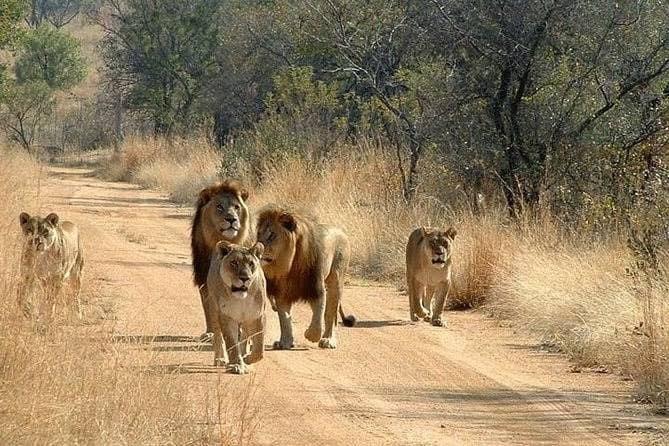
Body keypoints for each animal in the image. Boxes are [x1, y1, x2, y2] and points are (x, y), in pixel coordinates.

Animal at [191, 180, 250, 340]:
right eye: (219, 206)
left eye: (236, 207)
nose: (232, 219)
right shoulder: (203, 278)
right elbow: (208, 307)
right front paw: (210, 333)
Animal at [207, 241, 266, 374]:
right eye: (234, 262)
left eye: (251, 264)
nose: (245, 278)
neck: (241, 298)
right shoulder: (227, 316)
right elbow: (231, 343)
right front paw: (236, 365)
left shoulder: (257, 316)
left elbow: (259, 348)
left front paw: (247, 359)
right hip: (213, 310)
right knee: (218, 336)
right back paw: (220, 359)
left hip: (245, 321)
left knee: (245, 336)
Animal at [256, 205, 356, 350]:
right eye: (259, 234)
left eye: (271, 235)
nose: (255, 247)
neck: (288, 265)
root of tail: (341, 231)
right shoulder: (282, 293)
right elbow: (284, 319)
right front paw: (285, 342)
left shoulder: (316, 288)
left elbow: (319, 316)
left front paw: (311, 335)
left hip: (337, 279)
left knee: (331, 313)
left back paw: (328, 340)